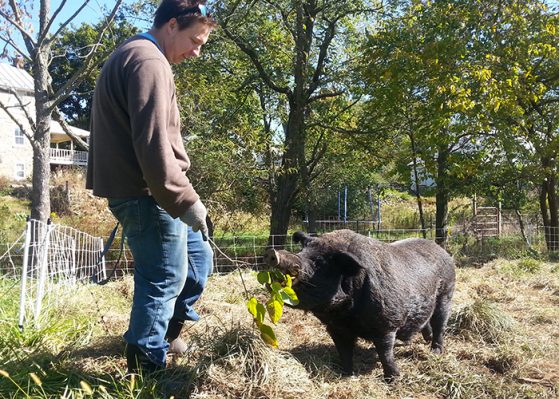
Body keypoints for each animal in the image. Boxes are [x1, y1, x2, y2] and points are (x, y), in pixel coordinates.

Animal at [264, 230, 458, 382]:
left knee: (440, 323)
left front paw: (392, 379)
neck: (346, 313)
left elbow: (385, 352)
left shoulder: (386, 323)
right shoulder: (336, 327)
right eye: (302, 250)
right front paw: (346, 374)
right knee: (425, 323)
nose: (274, 253)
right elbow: (343, 351)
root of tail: (443, 251)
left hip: (446, 293)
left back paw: (435, 352)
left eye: (319, 261)